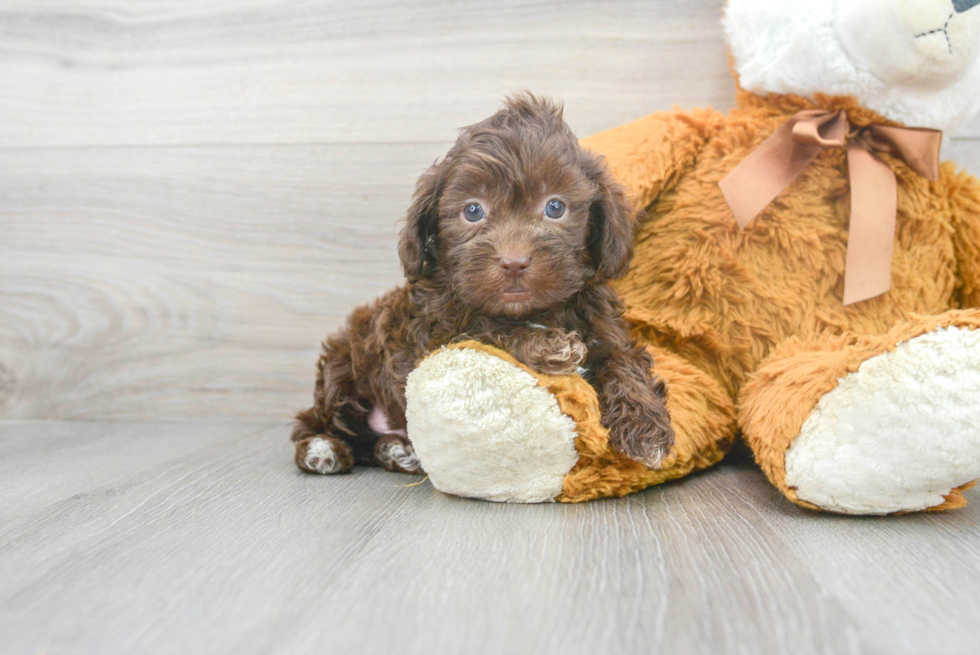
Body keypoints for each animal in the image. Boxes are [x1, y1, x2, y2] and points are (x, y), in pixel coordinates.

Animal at [290, 93, 672, 476]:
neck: (530, 311)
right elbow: (483, 329)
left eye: (555, 207)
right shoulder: (431, 336)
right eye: (473, 211)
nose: (514, 261)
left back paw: (397, 450)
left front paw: (646, 426)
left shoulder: (607, 329)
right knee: (318, 419)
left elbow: (623, 362)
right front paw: (549, 345)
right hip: (344, 368)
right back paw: (323, 449)